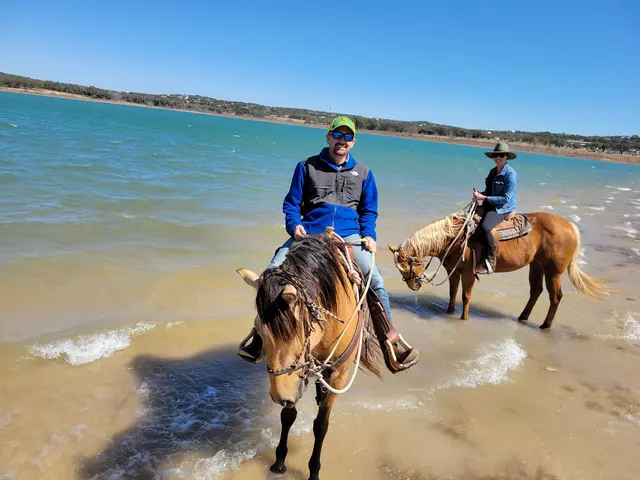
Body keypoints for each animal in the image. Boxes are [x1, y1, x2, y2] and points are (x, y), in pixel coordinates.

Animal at [236, 234, 383, 480]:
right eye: (259, 329)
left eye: (301, 329)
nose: (279, 396)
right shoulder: (295, 376)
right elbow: (288, 416)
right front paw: (279, 461)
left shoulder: (339, 374)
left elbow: (321, 424)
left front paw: (314, 471)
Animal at [388, 208, 611, 329]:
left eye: (407, 266)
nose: (414, 286)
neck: (454, 237)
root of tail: (570, 226)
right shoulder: (454, 272)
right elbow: (452, 294)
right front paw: (449, 314)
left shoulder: (468, 273)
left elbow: (465, 297)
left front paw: (463, 319)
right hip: (536, 265)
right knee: (536, 291)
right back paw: (522, 317)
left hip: (553, 270)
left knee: (555, 296)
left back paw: (545, 325)